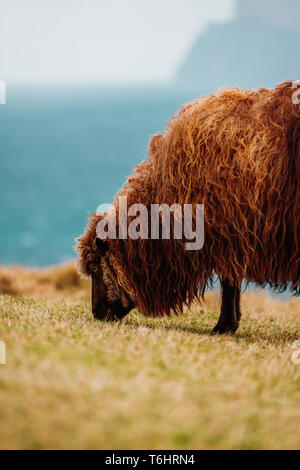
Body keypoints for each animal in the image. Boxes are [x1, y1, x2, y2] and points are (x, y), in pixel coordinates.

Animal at [77, 82, 300, 336]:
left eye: (96, 267)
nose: (97, 314)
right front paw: (232, 323)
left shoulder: (224, 234)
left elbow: (228, 281)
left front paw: (223, 326)